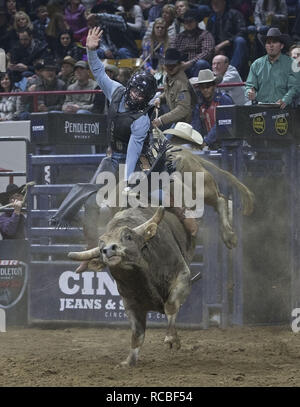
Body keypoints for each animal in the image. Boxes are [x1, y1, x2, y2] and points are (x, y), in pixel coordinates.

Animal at [67, 147, 253, 366]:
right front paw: (128, 361)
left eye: (128, 236)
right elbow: (137, 334)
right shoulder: (130, 303)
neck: (141, 276)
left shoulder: (182, 276)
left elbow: (170, 305)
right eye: (101, 245)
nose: (109, 250)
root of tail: (182, 149)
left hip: (202, 185)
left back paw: (229, 236)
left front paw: (172, 339)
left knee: (221, 200)